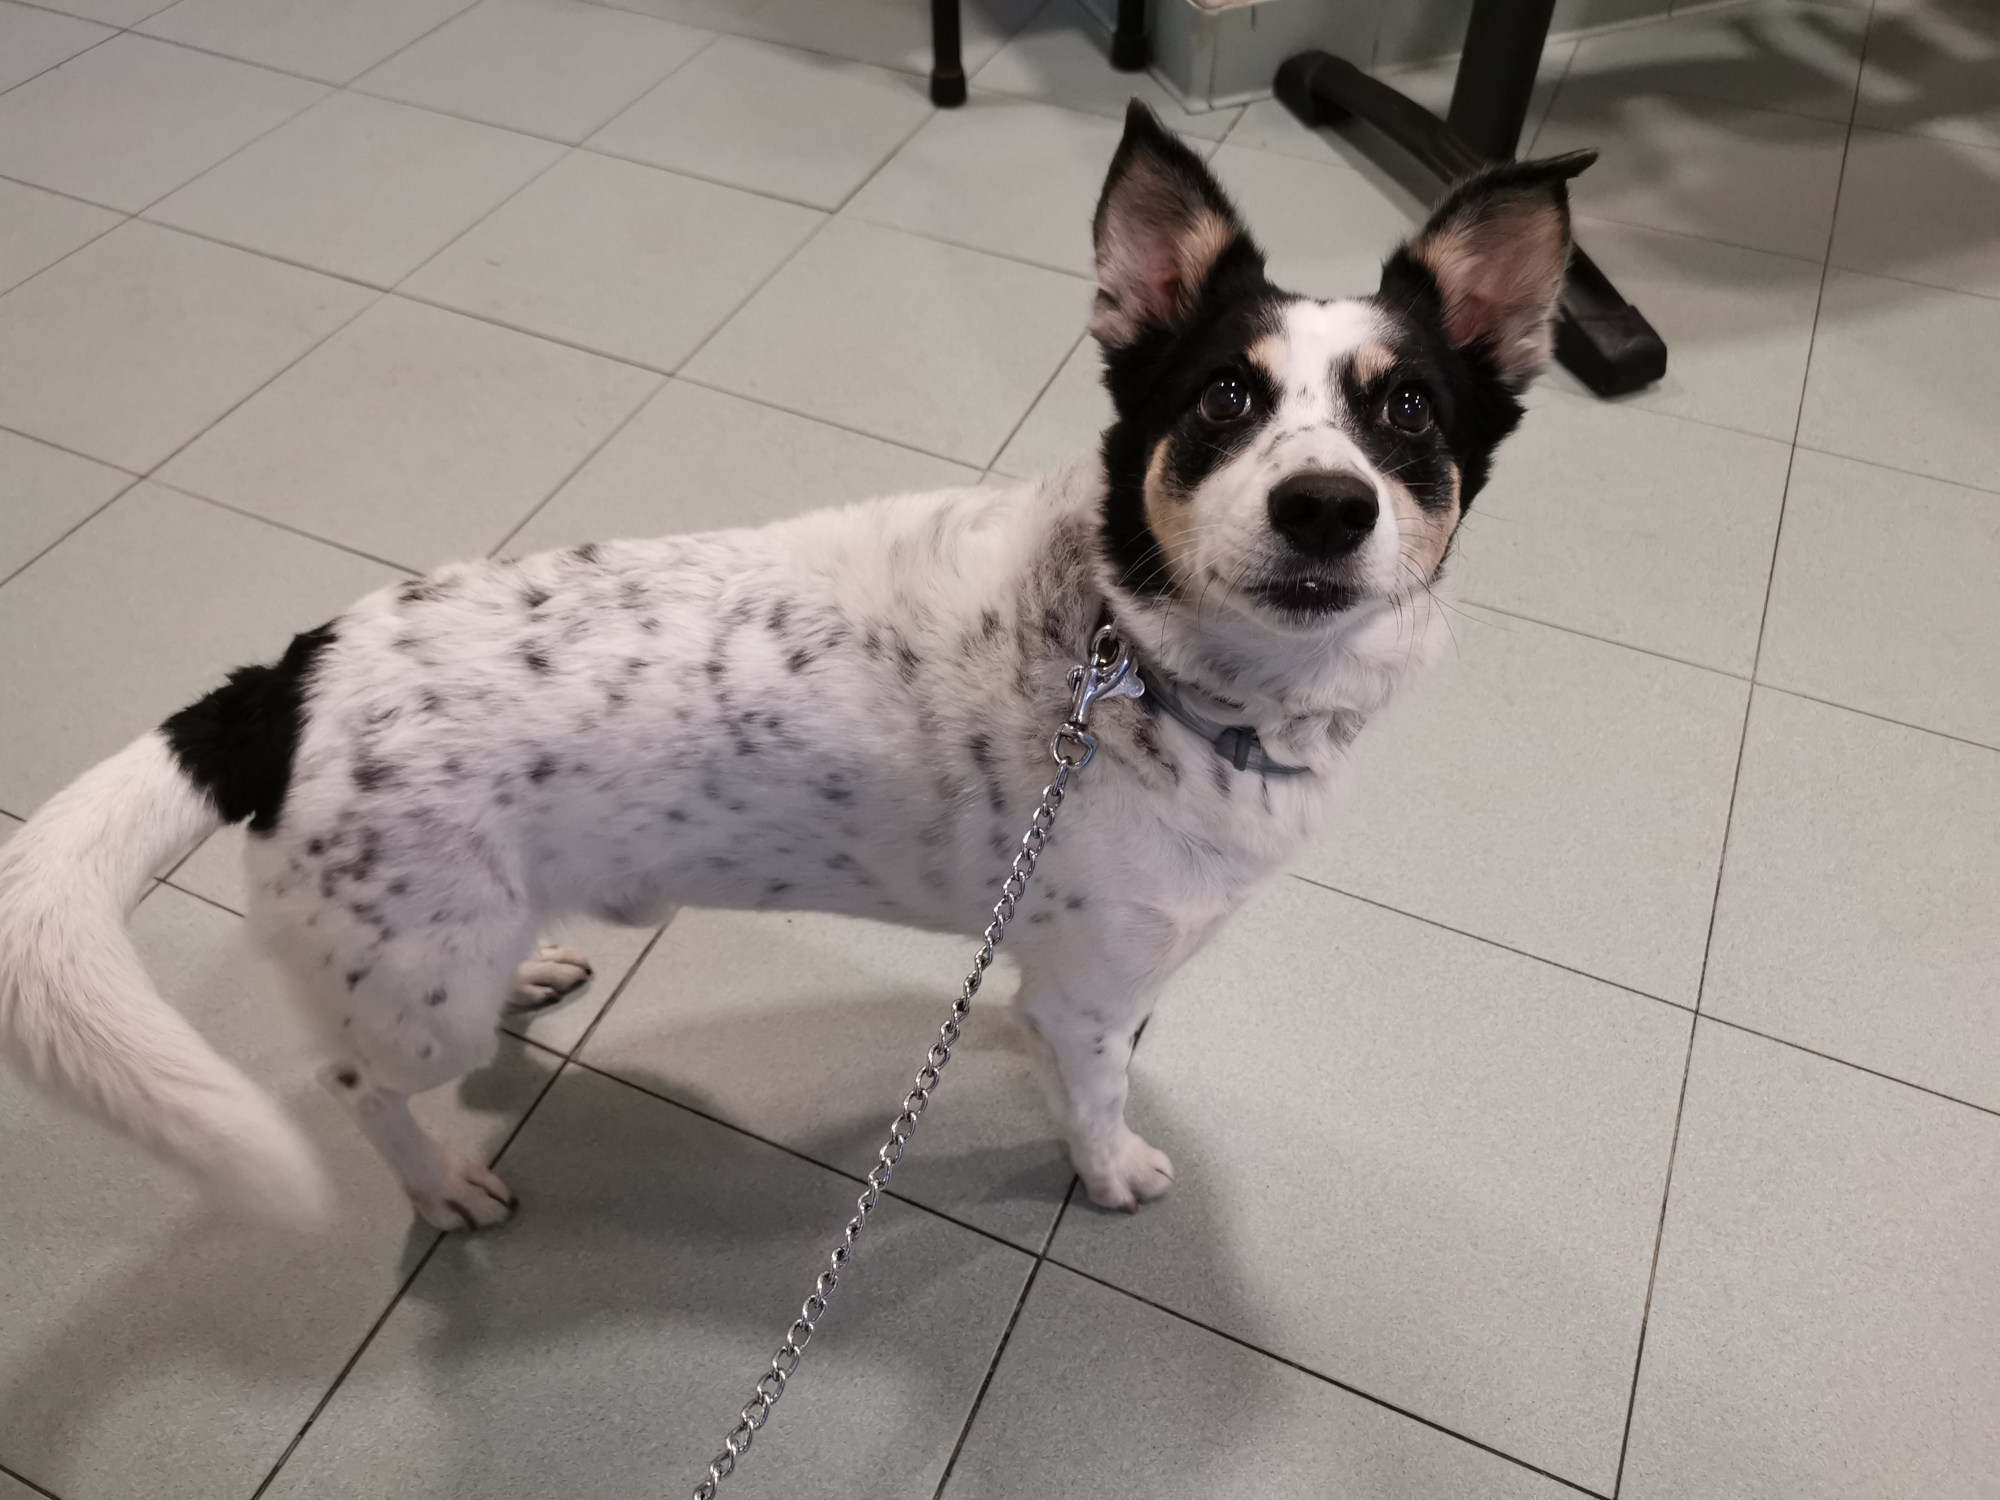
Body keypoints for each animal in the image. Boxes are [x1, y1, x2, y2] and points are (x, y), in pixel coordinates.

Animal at [0, 104, 1589, 1232]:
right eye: (1220, 400)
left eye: (1406, 413)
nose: (1326, 506)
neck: (1141, 663)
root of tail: (284, 683)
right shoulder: (1078, 991)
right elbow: (1092, 1098)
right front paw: (1110, 1169)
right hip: (408, 992)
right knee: (347, 1081)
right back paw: (439, 1186)